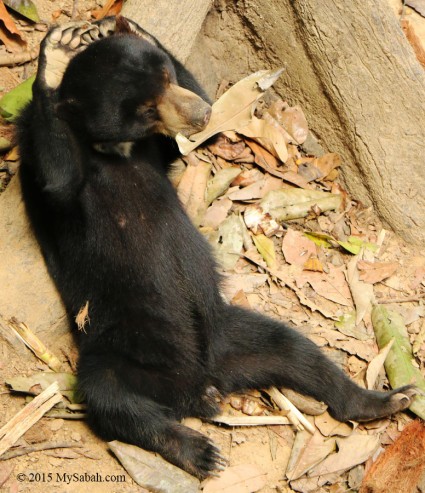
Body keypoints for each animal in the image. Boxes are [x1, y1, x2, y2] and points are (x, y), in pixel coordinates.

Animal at [17, 17, 414, 478]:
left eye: (167, 77)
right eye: (146, 109)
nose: (199, 114)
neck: (115, 151)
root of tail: (197, 385)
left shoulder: (156, 149)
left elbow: (189, 136)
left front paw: (123, 28)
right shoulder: (54, 176)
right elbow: (57, 178)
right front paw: (55, 56)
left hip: (227, 338)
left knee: (296, 351)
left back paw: (384, 400)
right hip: (119, 344)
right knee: (110, 395)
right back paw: (199, 451)